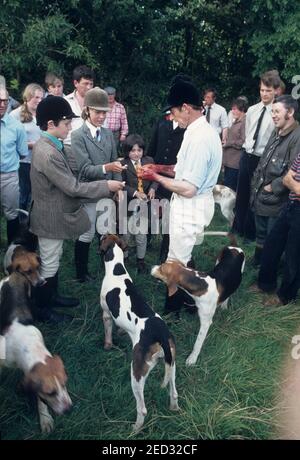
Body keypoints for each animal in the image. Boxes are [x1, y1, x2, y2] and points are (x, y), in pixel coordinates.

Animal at [99, 235, 178, 434]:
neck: (116, 270)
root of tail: (161, 335)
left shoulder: (106, 314)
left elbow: (108, 333)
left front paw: (107, 345)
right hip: (171, 364)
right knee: (174, 392)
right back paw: (174, 409)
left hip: (136, 374)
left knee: (142, 408)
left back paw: (135, 428)